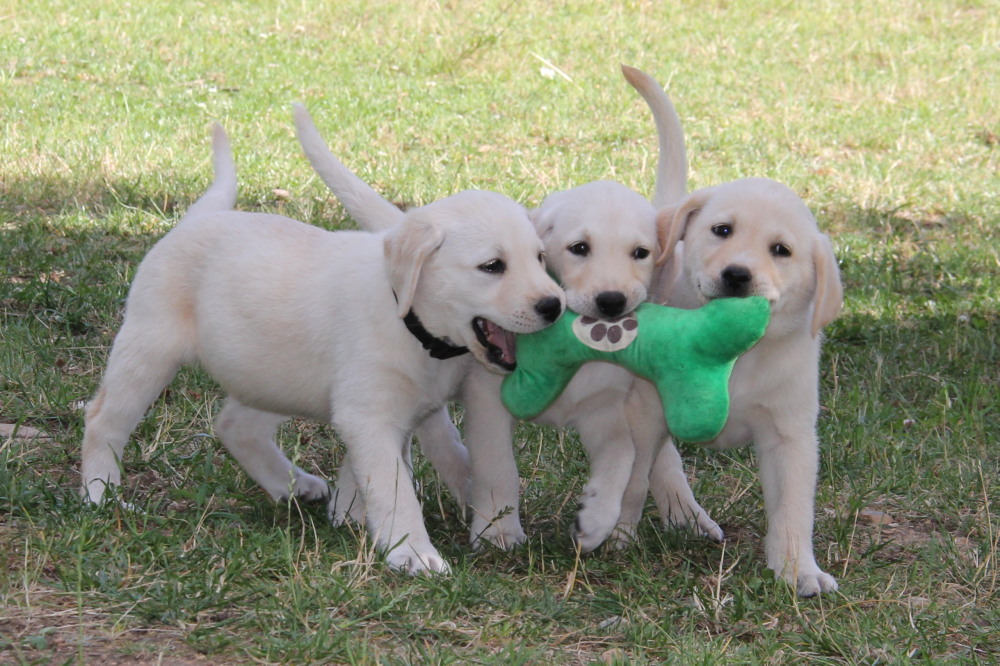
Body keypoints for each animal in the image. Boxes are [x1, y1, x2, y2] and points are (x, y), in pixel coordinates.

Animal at [78, 119, 564, 572]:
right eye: (492, 266)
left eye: (540, 258)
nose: (554, 305)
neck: (416, 325)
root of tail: (198, 217)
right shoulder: (370, 415)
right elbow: (393, 487)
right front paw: (413, 554)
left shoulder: (418, 405)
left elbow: (453, 465)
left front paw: (360, 516)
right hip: (149, 347)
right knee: (104, 420)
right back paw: (101, 494)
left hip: (272, 373)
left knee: (236, 426)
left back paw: (292, 485)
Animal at [616, 68, 844, 596]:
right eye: (721, 230)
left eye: (781, 250)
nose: (738, 275)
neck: (734, 348)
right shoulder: (646, 406)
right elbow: (634, 476)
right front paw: (616, 534)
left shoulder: (790, 432)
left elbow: (793, 508)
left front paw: (798, 570)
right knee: (661, 460)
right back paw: (682, 512)